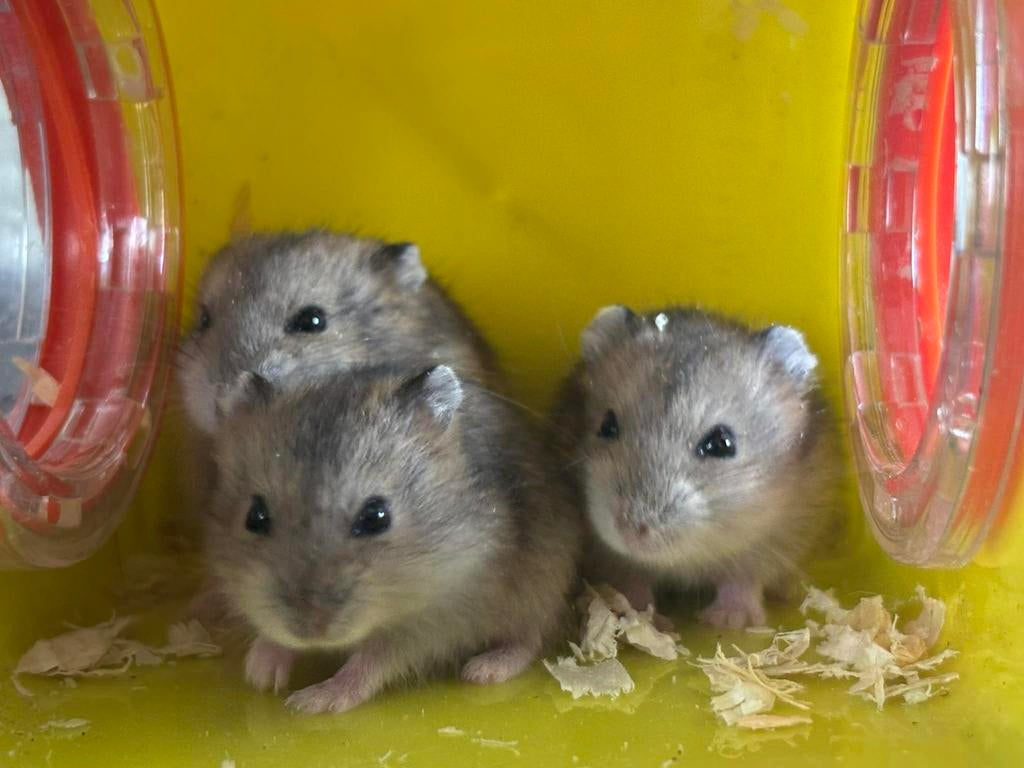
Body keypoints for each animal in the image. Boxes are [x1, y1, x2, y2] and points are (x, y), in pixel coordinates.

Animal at [206, 364, 581, 713]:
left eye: (376, 516)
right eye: (255, 517)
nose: (310, 631)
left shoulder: (433, 623)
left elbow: (371, 661)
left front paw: (309, 702)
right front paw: (260, 675)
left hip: (541, 582)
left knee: (531, 636)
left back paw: (484, 670)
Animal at [553, 306, 840, 629]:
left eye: (722, 443)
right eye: (607, 426)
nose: (630, 533)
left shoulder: (778, 540)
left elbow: (743, 578)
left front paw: (729, 621)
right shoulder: (607, 555)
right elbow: (631, 579)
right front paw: (643, 618)